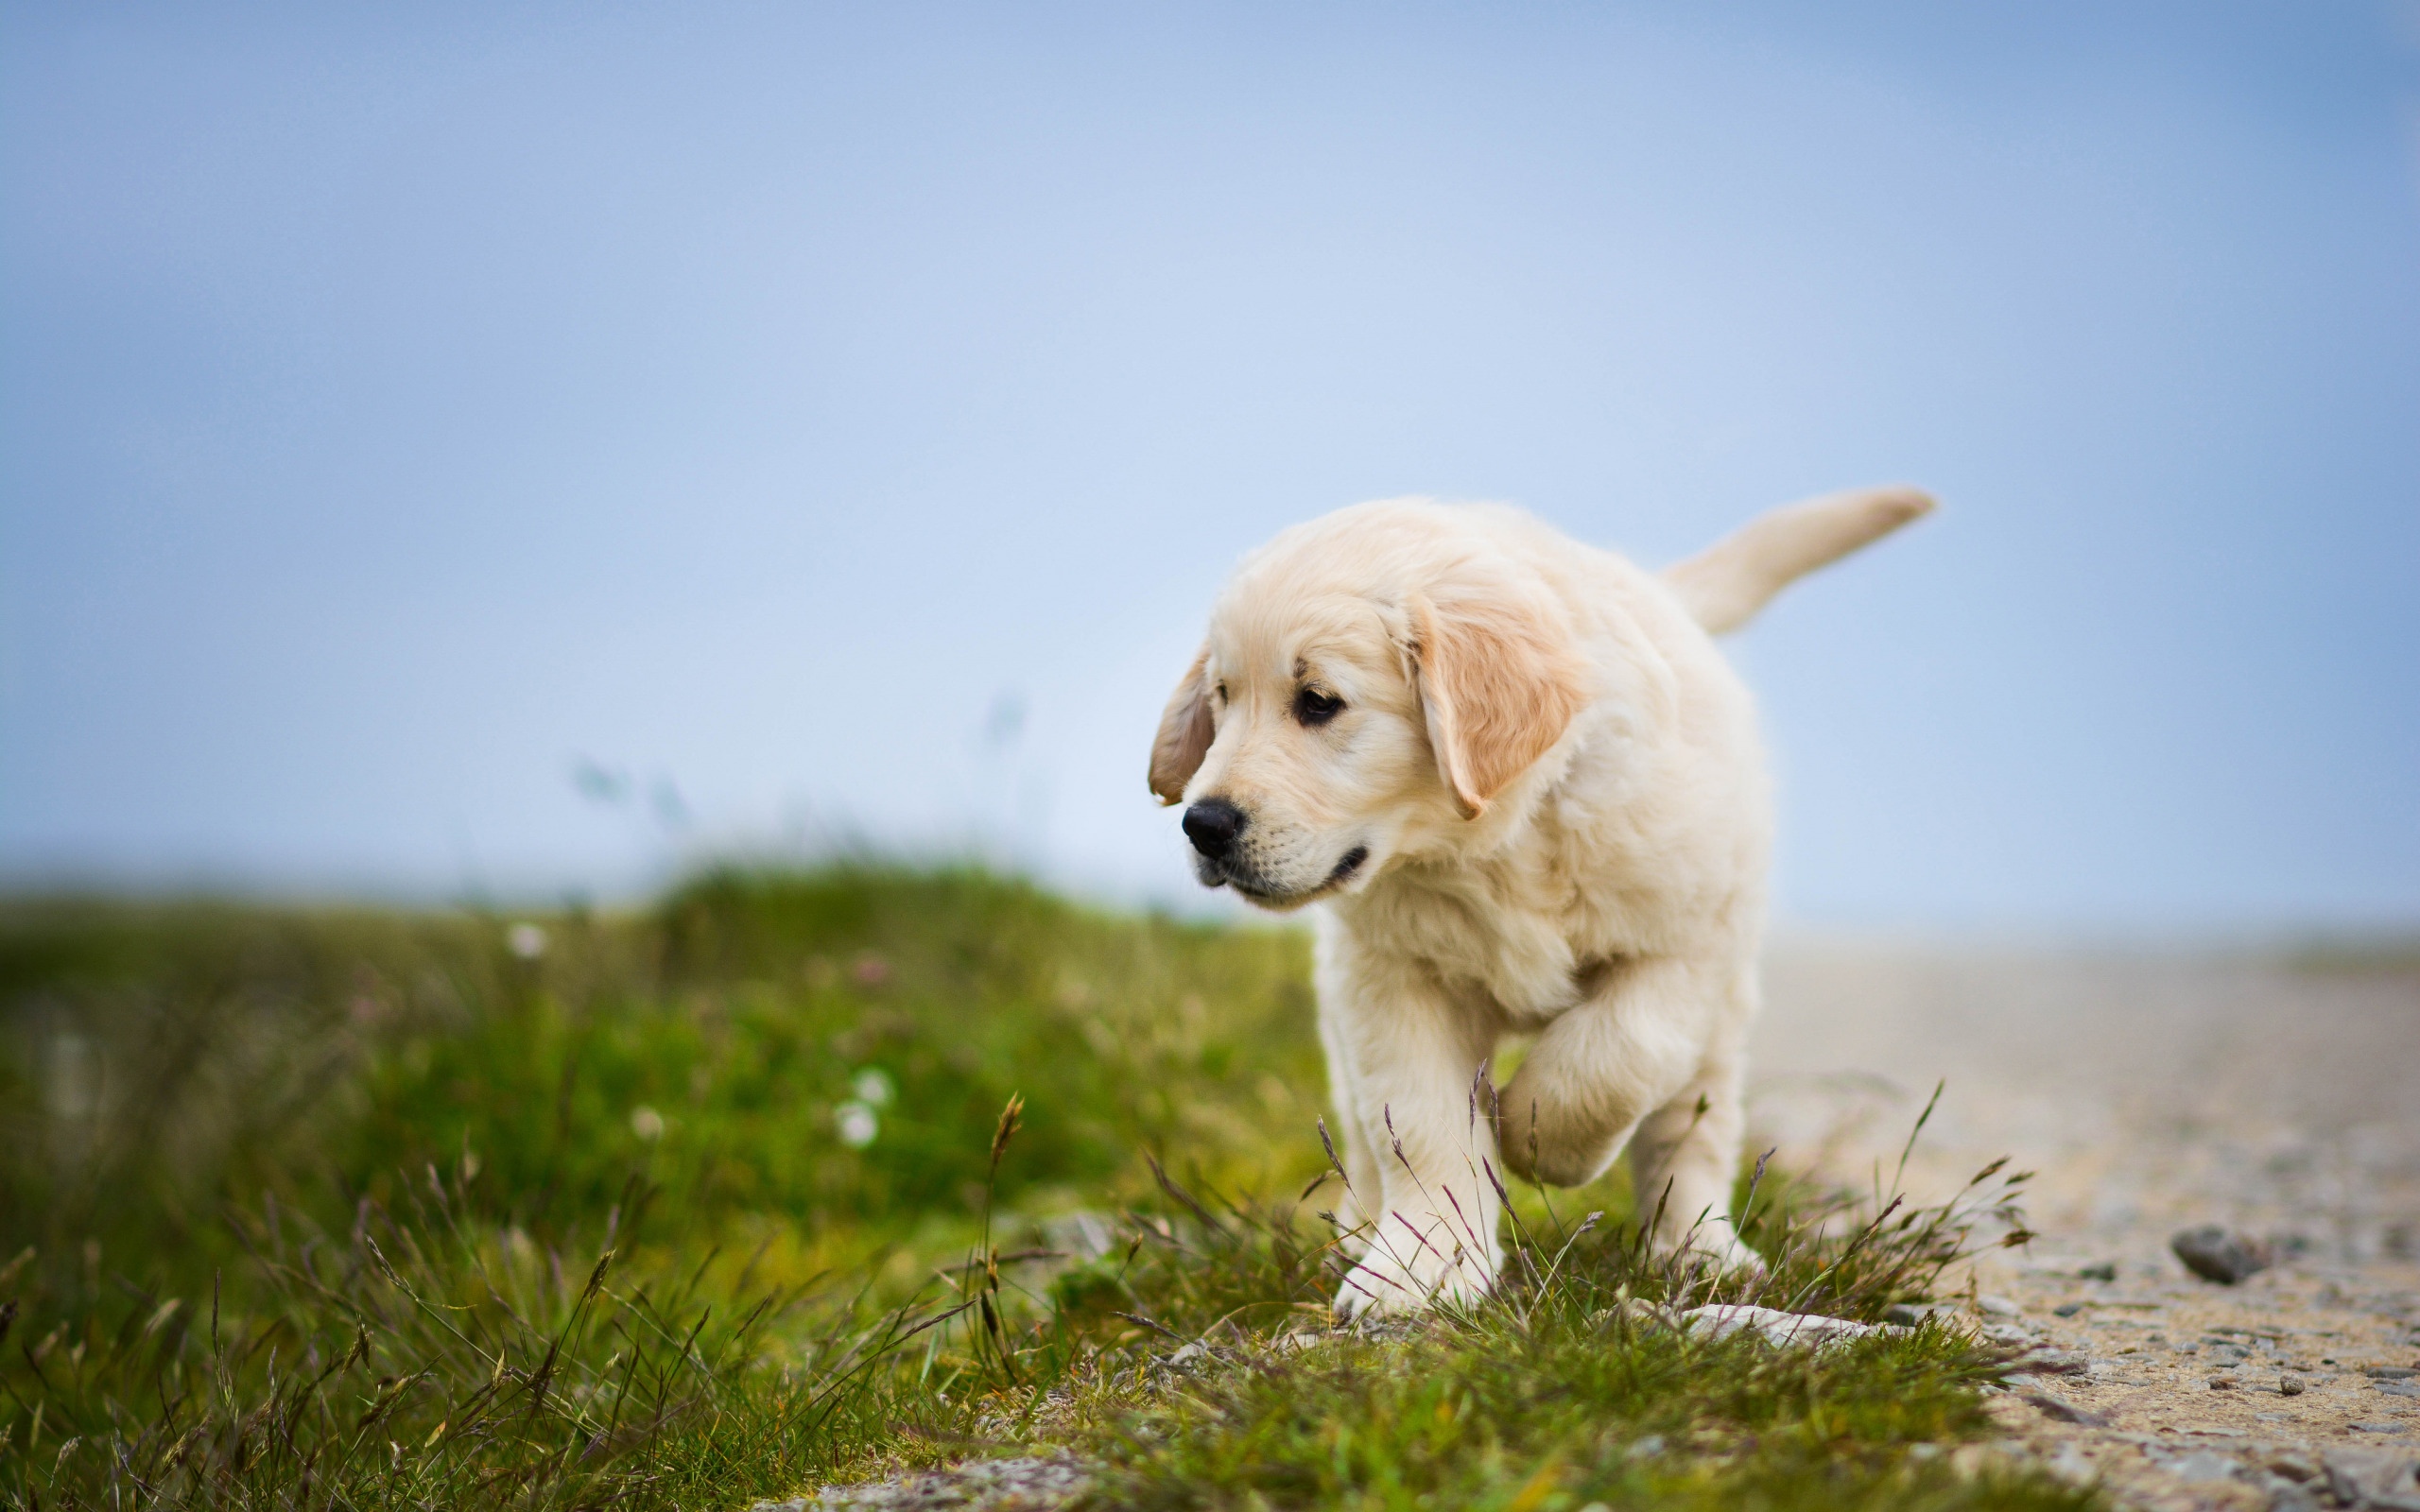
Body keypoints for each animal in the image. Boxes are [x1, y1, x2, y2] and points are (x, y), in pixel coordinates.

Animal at [1147, 489, 1926, 1315]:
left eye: (1319, 702)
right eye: (1223, 698)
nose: (1204, 824)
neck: (1495, 843)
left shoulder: (1686, 943)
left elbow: (1619, 1054)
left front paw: (1535, 1134)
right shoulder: (1390, 975)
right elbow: (1417, 1122)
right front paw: (1423, 1264)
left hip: (1724, 1004)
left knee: (1692, 1124)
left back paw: (1700, 1247)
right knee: (1360, 1128)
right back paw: (1363, 1227)